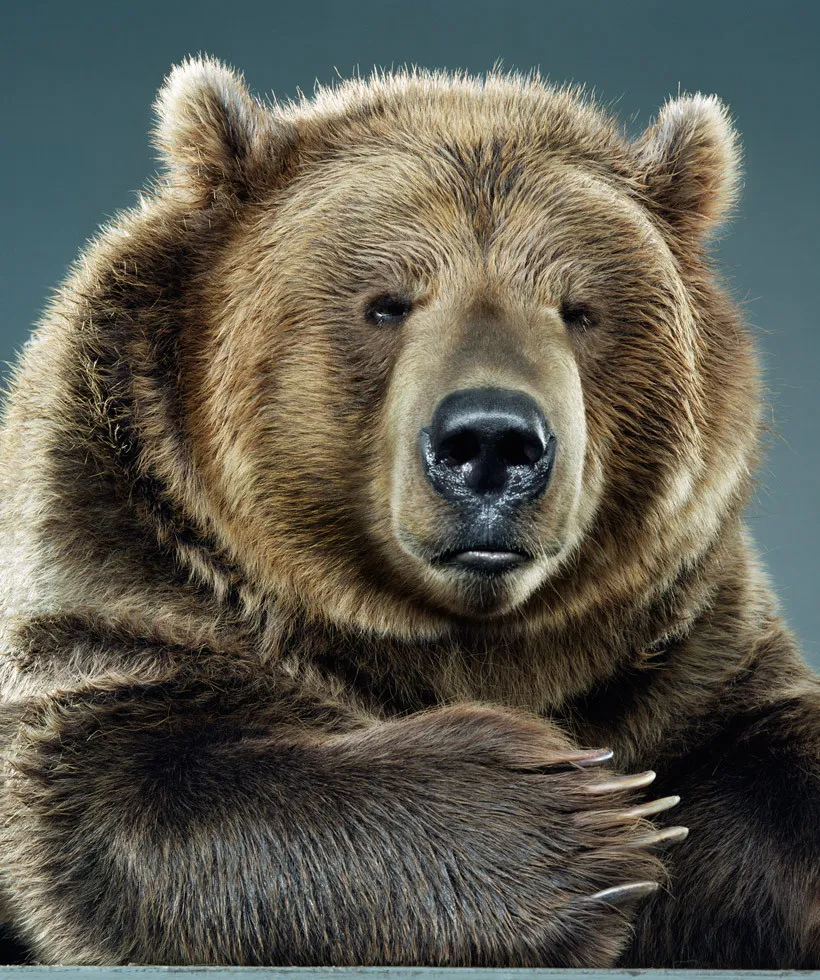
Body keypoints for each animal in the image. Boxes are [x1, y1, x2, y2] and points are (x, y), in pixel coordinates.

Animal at [0, 54, 817, 968]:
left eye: (579, 309)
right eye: (386, 302)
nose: (492, 442)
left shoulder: (687, 648)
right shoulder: (124, 578)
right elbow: (120, 785)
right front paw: (571, 820)